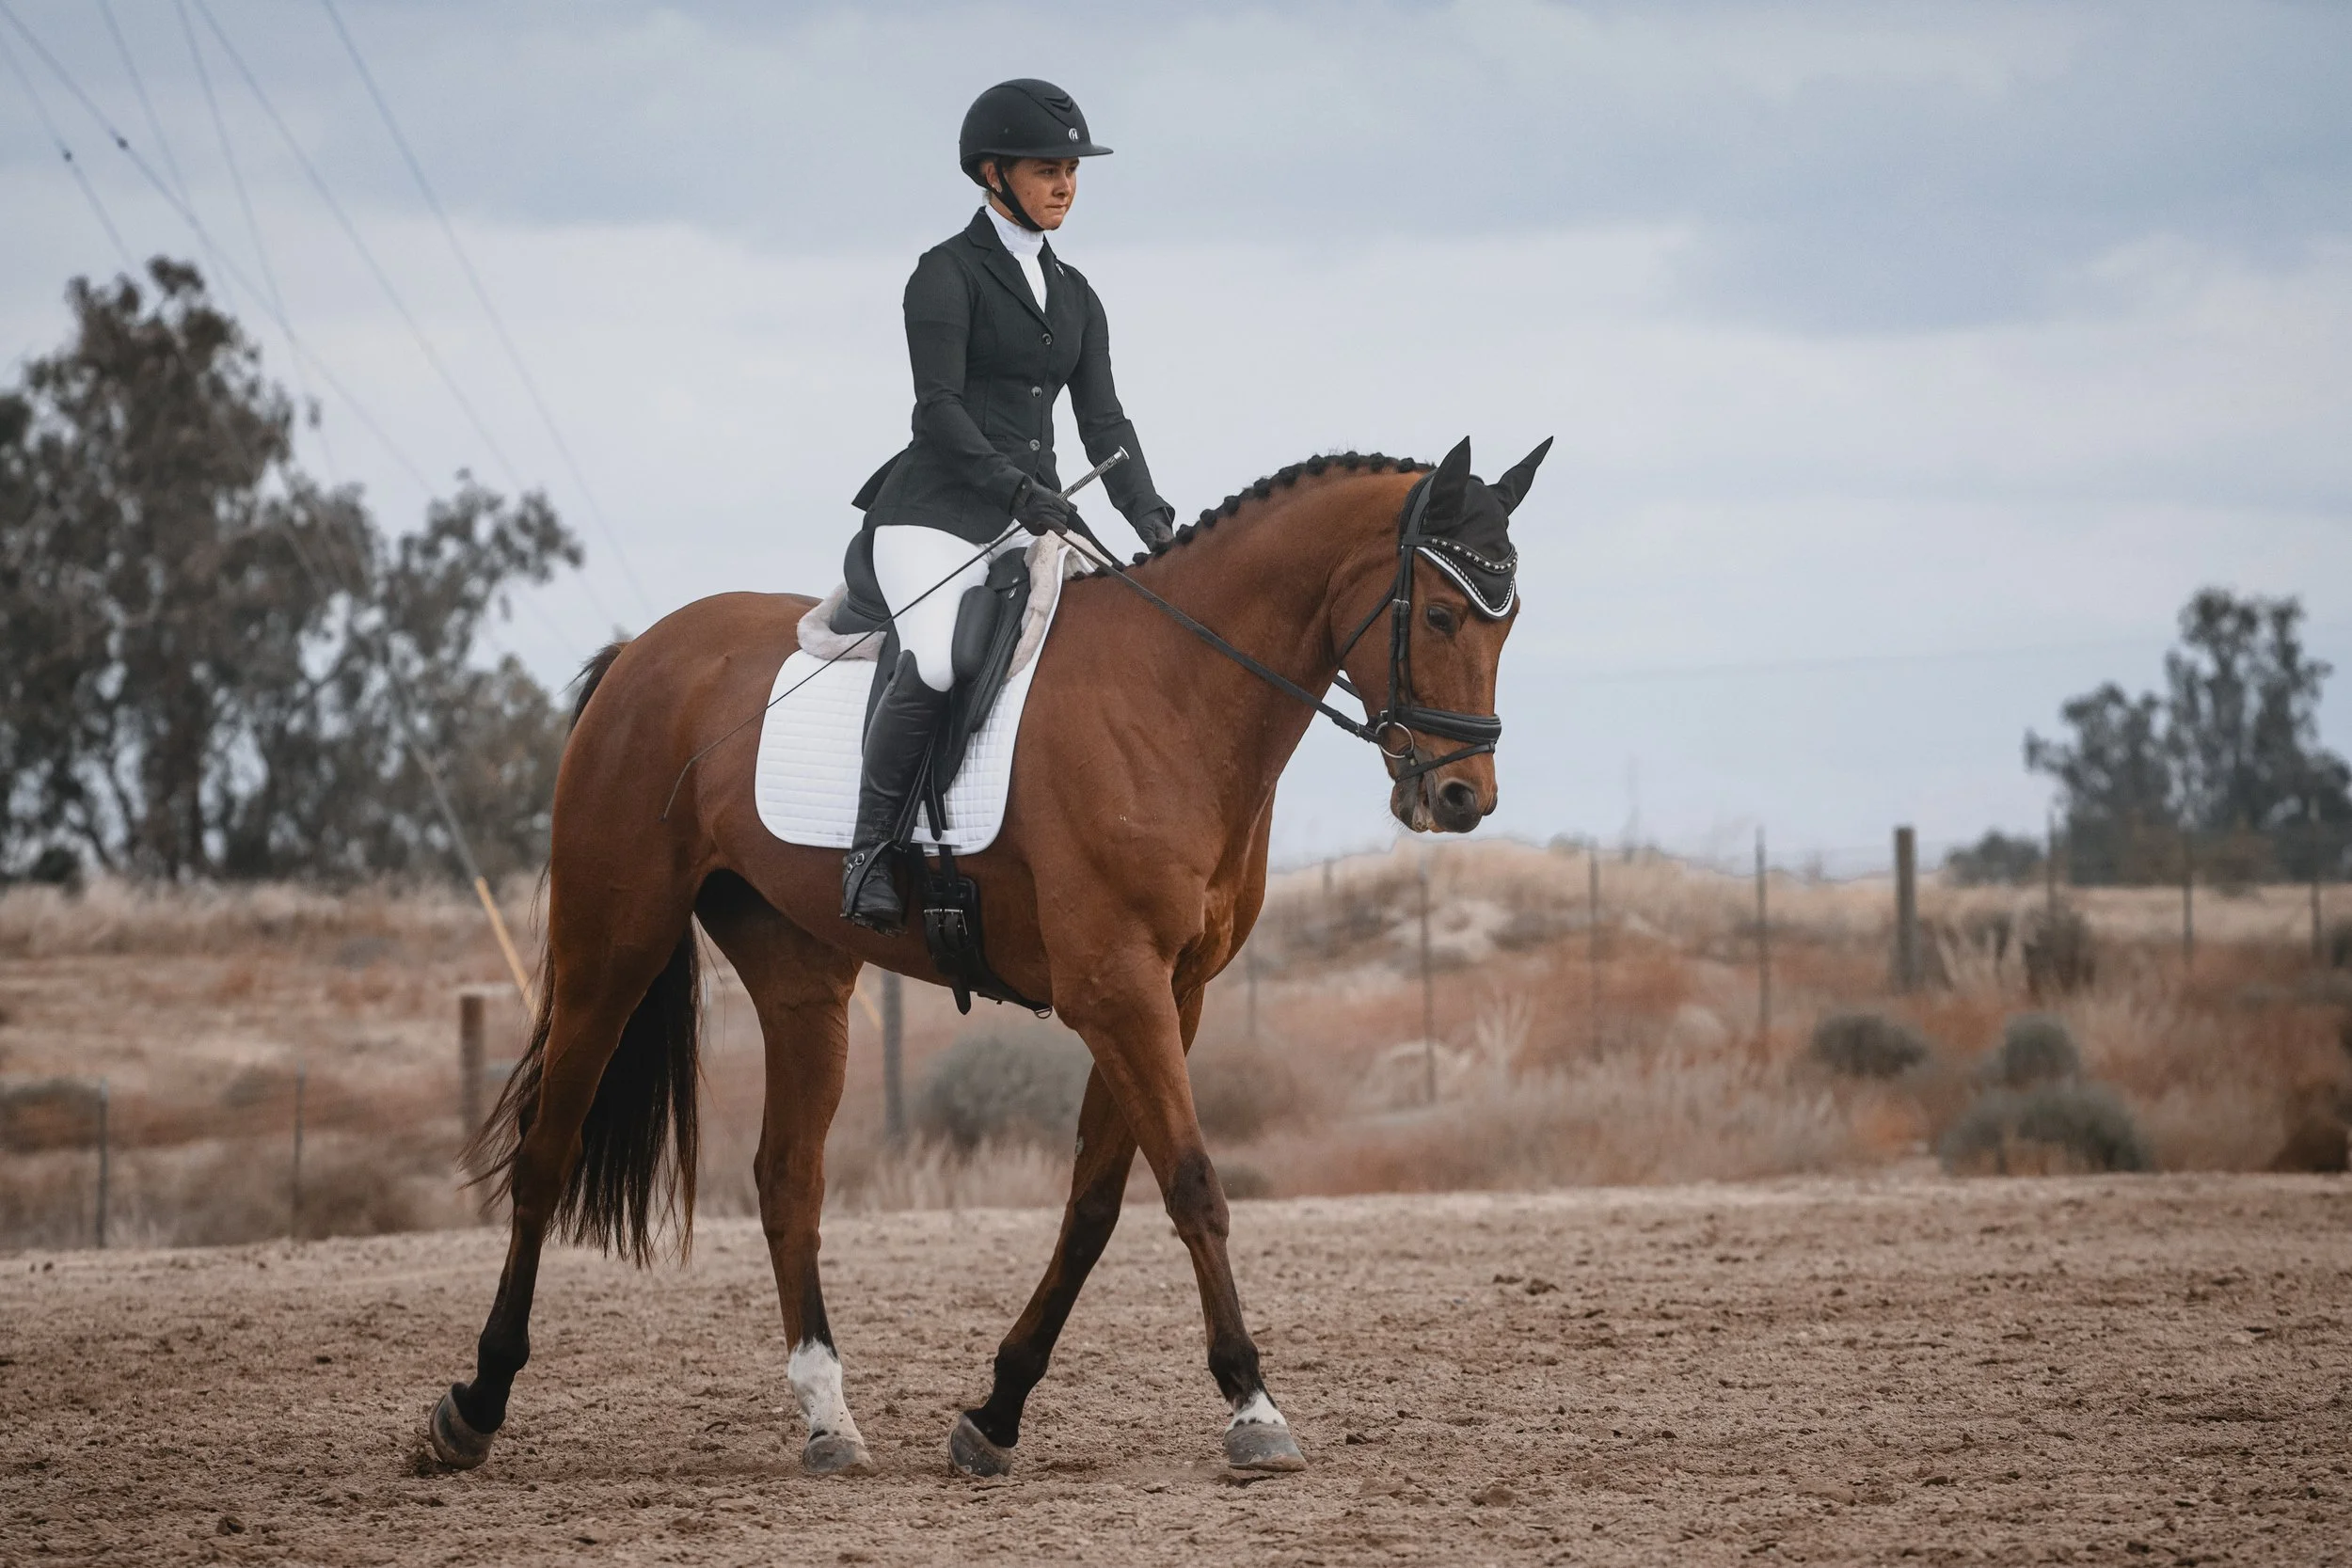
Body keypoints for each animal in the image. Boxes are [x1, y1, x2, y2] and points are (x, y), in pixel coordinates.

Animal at [425, 435, 1547, 1479]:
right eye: (1439, 616)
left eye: (1506, 618)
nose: (1463, 797)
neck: (1175, 693)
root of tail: (642, 653)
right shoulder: (1117, 987)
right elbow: (1191, 1182)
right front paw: (1252, 1404)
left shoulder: (1168, 992)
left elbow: (1094, 1203)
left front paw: (996, 1410)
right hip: (611, 948)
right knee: (547, 1150)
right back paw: (474, 1404)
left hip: (801, 982)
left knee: (788, 1179)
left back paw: (829, 1419)